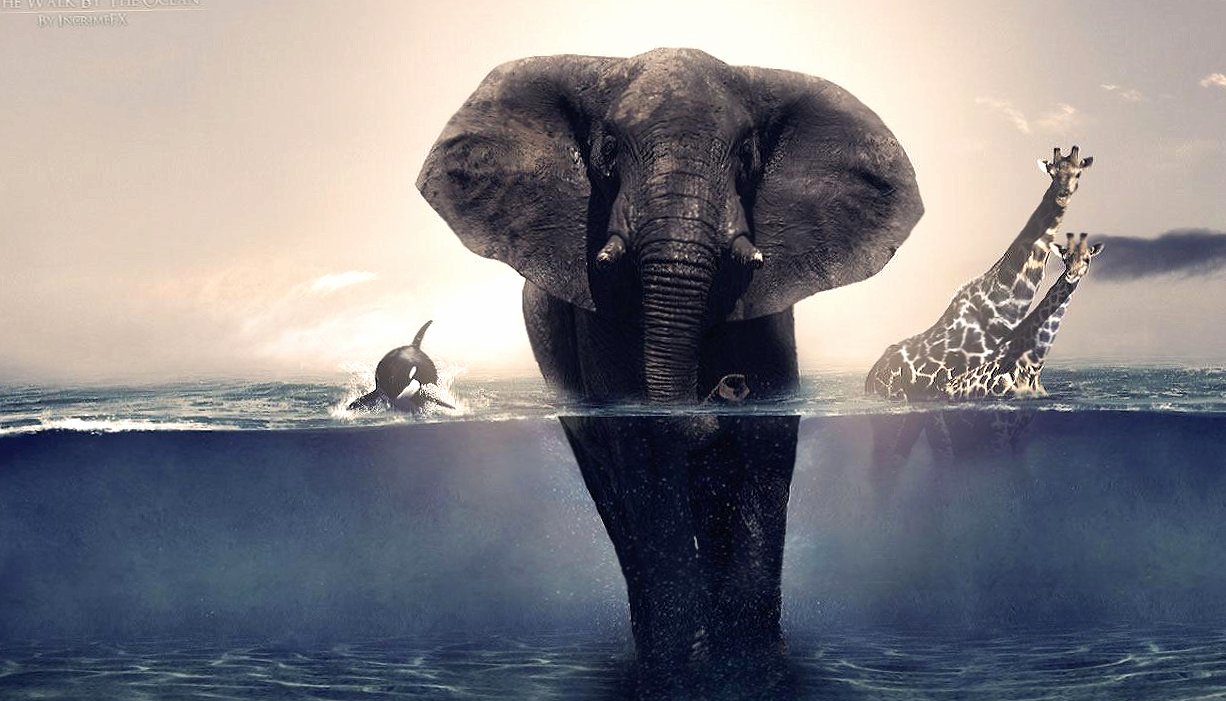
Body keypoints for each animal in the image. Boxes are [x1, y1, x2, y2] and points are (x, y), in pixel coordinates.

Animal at [417, 48, 922, 693]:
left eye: (748, 153)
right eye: (608, 149)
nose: (726, 387)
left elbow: (766, 444)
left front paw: (754, 667)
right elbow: (645, 451)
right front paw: (678, 672)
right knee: (614, 494)